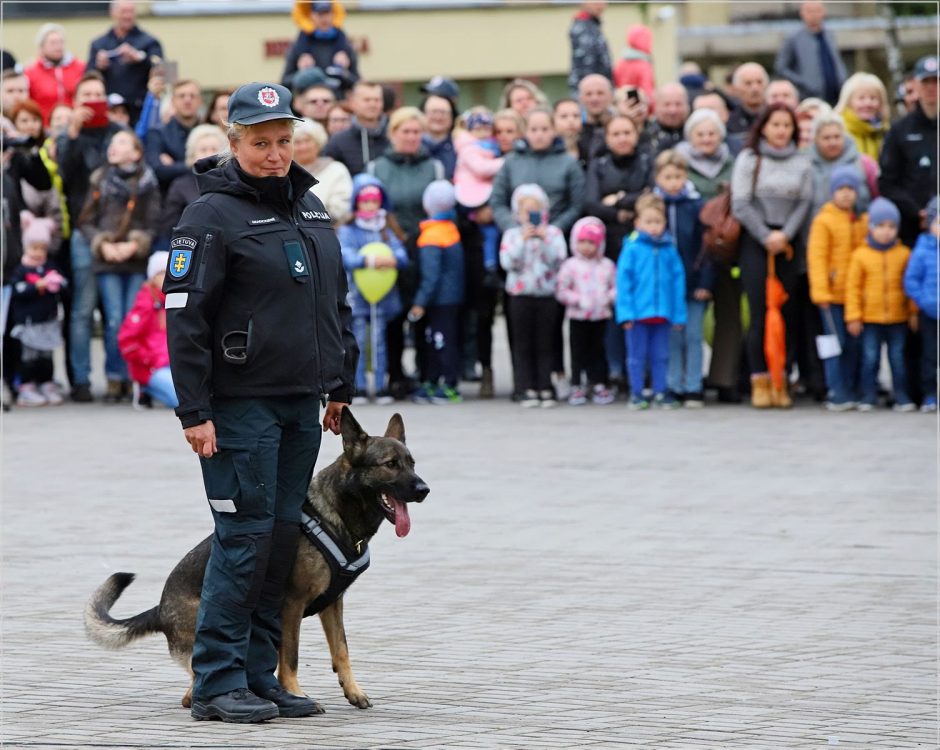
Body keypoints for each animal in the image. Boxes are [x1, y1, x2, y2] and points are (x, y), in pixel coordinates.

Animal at [84, 408, 430, 712]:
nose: (424, 489)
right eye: (390, 464)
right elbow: (290, 657)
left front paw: (354, 691)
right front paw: (295, 694)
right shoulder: (291, 605)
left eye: (412, 463)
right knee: (196, 688)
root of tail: (160, 609)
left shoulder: (333, 604)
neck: (337, 516)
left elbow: (342, 650)